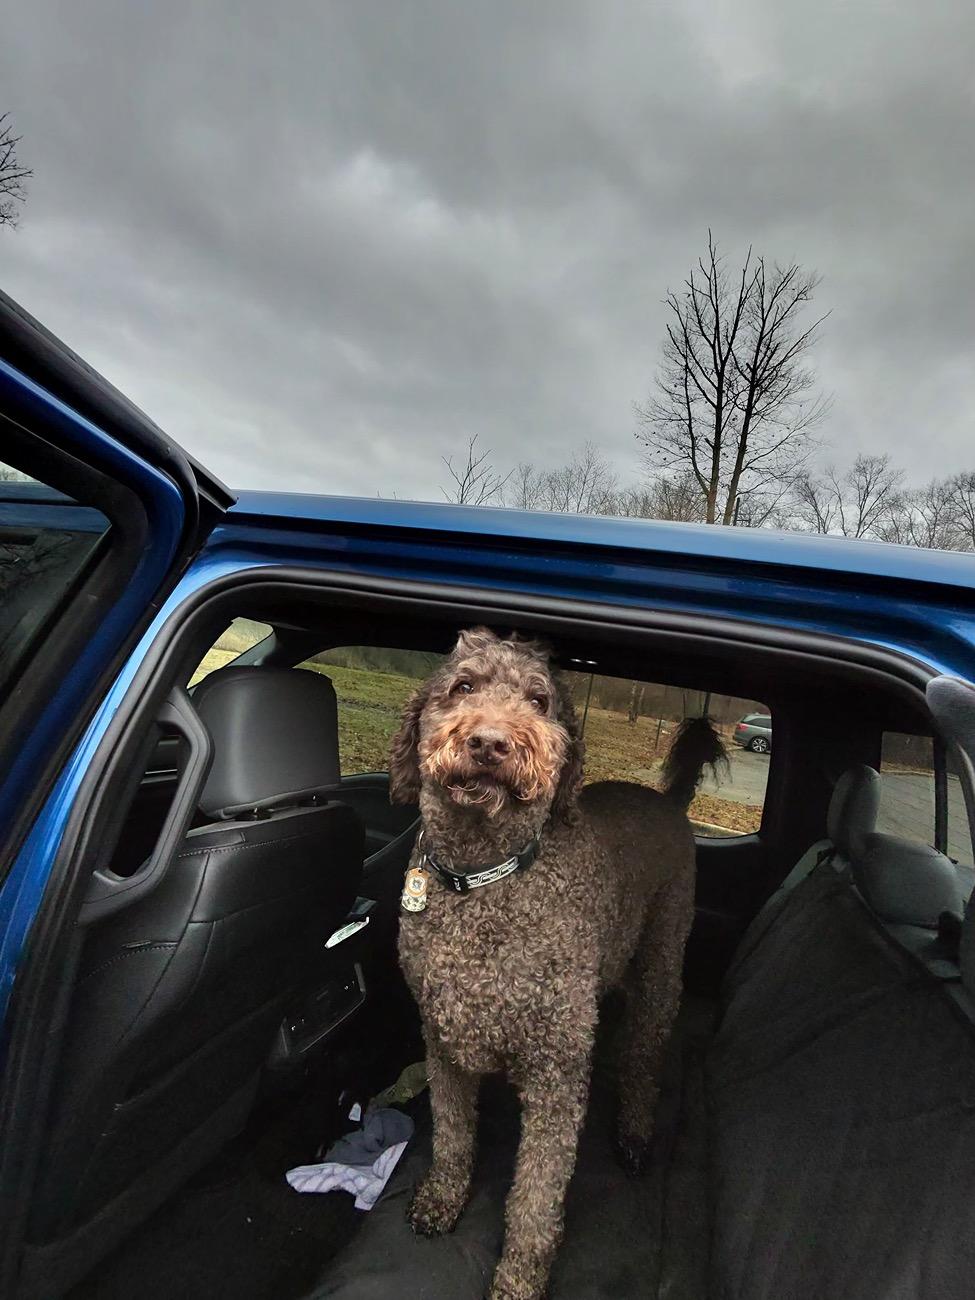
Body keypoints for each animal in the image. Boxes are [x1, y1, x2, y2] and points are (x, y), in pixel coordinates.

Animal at [392, 624, 728, 1294]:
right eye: (462, 686)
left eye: (539, 700)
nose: (489, 742)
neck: (486, 879)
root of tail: (668, 802)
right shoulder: (444, 1045)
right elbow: (452, 1136)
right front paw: (442, 1199)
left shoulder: (557, 1074)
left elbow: (536, 1197)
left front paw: (518, 1279)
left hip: (662, 963)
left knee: (644, 1056)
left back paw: (634, 1132)